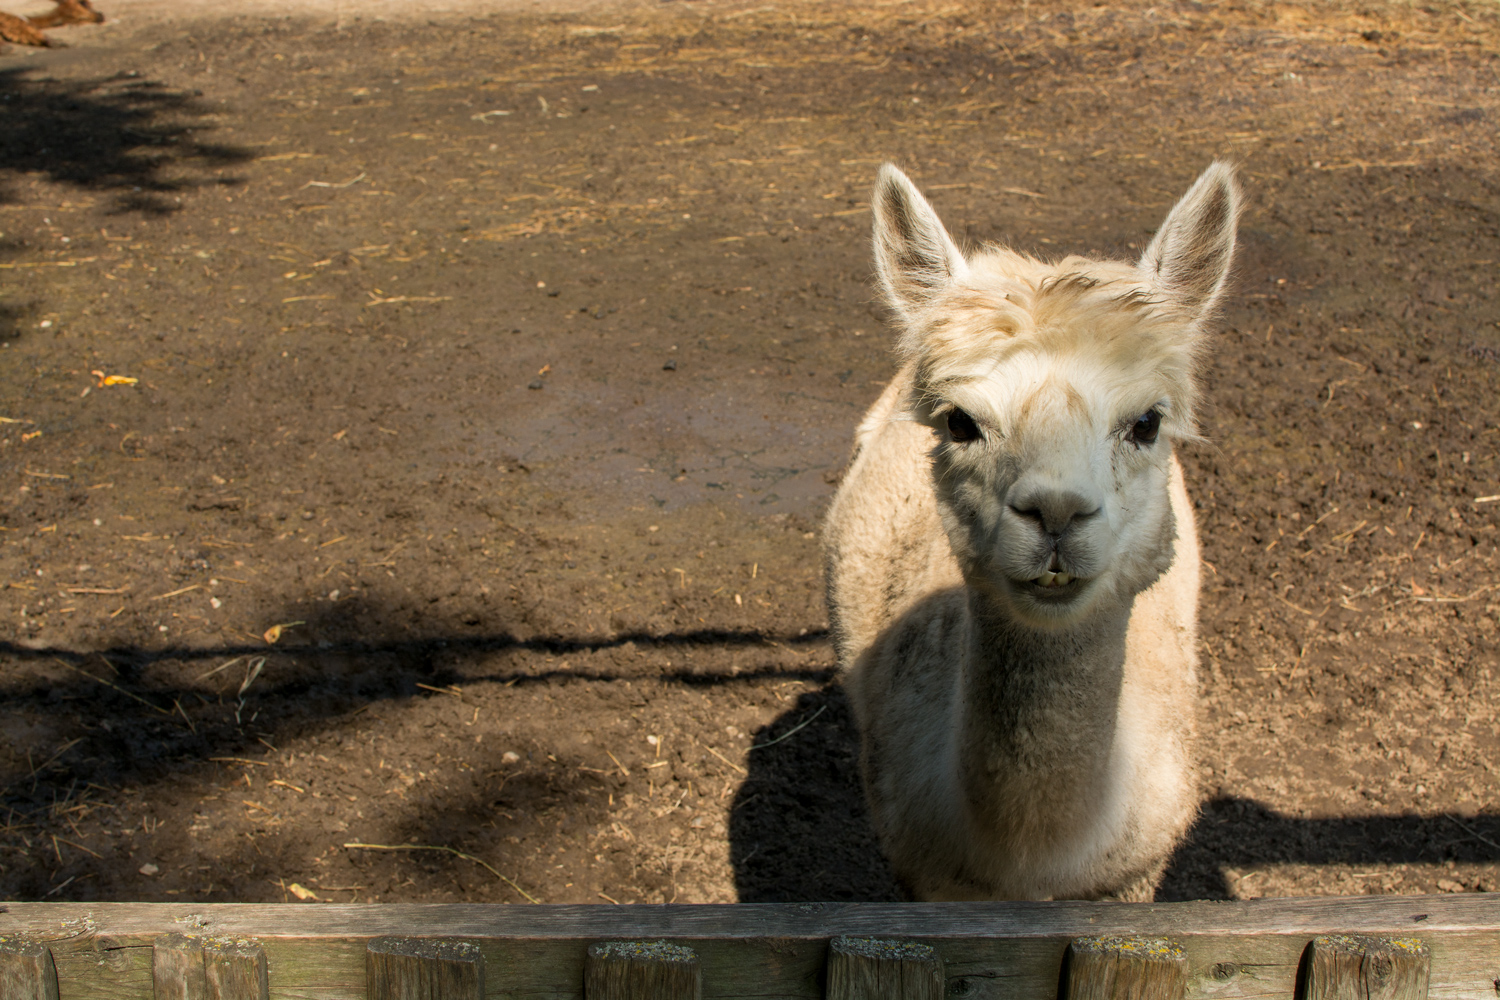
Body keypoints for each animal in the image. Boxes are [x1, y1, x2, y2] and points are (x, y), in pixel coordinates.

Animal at [823, 161, 1239, 901]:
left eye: (1147, 422)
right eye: (960, 421)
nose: (1056, 513)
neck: (1033, 857)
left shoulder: (1133, 875)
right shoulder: (928, 879)